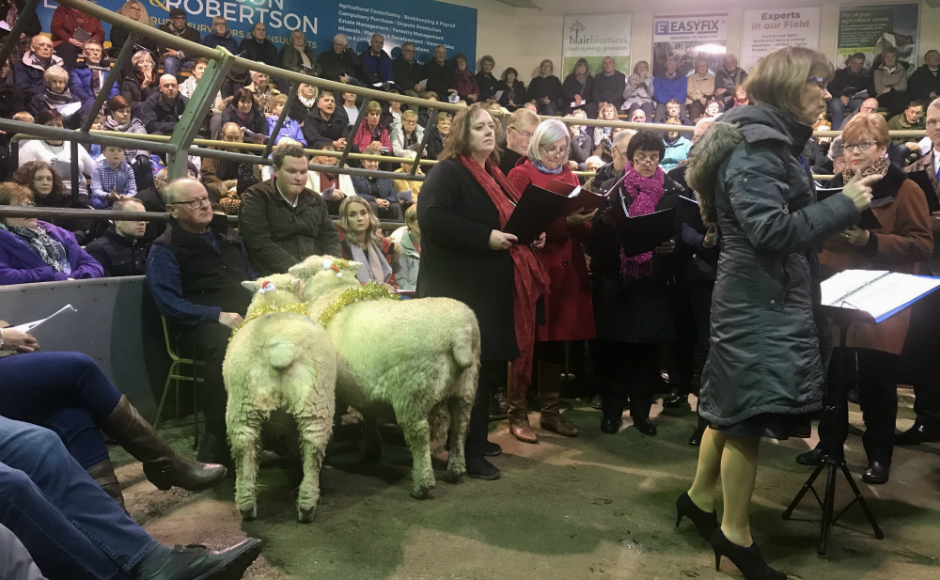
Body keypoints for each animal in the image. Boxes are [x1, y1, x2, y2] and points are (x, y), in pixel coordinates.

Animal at [222, 274, 336, 524]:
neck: (275, 306)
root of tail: (279, 347)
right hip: (316, 400)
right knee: (313, 447)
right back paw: (307, 504)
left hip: (243, 403)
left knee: (244, 448)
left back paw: (247, 506)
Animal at [286, 256, 482, 500]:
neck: (334, 293)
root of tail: (459, 334)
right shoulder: (364, 387)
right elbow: (369, 416)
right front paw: (372, 450)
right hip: (466, 386)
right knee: (461, 426)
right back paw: (456, 469)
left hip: (412, 391)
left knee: (420, 434)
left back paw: (422, 484)